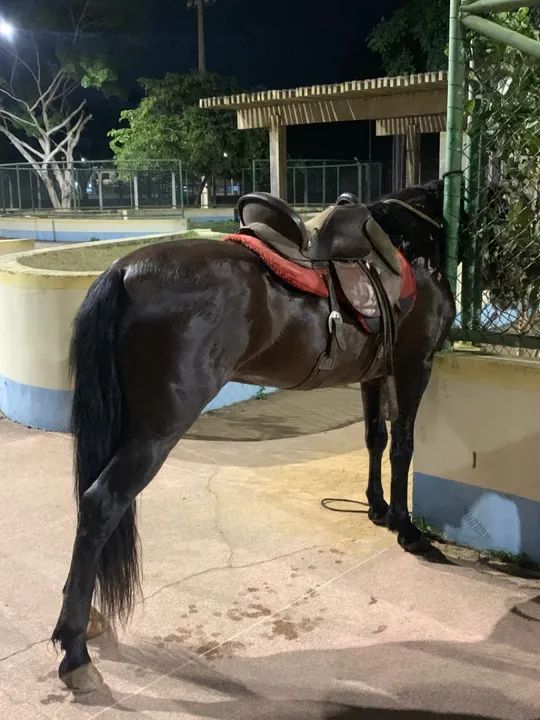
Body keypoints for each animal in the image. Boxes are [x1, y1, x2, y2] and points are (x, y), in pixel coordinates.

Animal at [52, 178, 456, 691]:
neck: (408, 240)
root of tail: (123, 271)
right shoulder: (413, 365)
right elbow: (403, 445)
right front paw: (408, 529)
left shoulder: (374, 373)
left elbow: (375, 439)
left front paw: (377, 508)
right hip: (156, 432)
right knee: (101, 503)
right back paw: (76, 652)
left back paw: (88, 622)